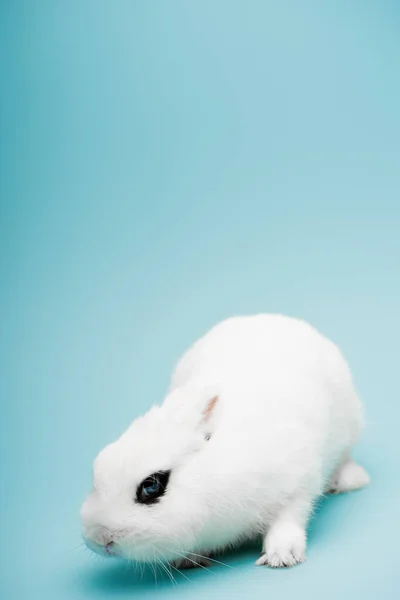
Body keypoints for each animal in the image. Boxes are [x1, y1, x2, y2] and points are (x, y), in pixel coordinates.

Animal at [80, 314, 368, 568]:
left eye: (152, 486)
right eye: (98, 468)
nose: (100, 539)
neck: (215, 472)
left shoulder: (298, 485)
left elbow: (288, 520)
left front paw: (281, 556)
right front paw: (188, 560)